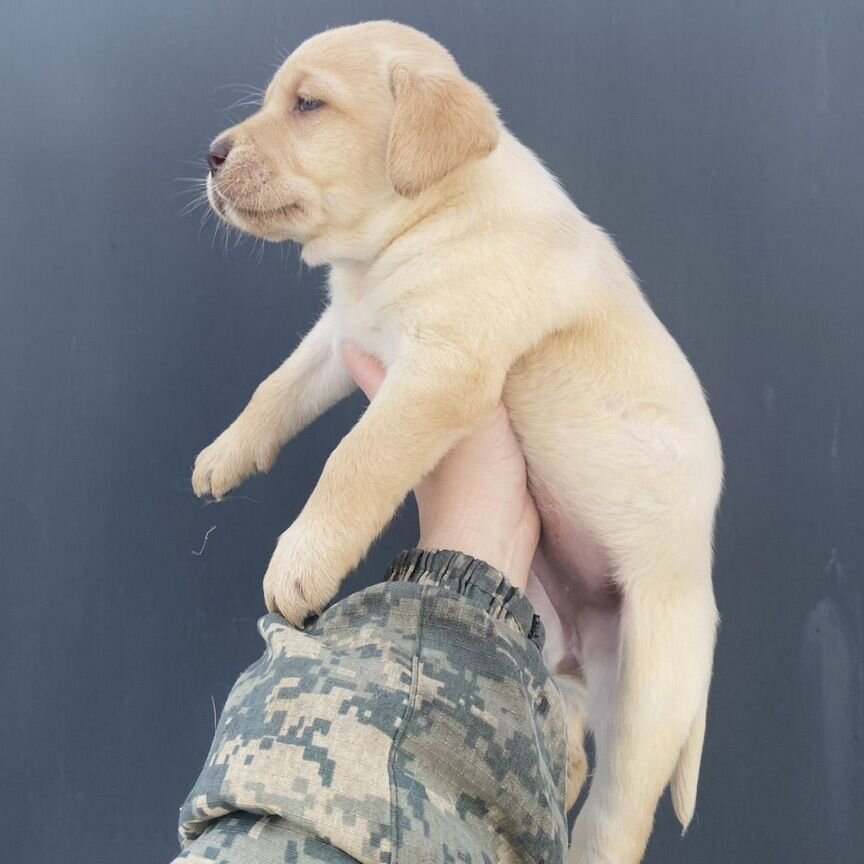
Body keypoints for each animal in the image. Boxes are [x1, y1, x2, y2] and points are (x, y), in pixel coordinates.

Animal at [194, 20, 724, 864]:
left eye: (309, 105)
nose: (210, 153)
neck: (424, 217)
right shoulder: (344, 331)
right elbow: (277, 388)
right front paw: (225, 455)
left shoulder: (442, 372)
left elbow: (354, 462)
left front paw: (302, 560)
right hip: (545, 646)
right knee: (560, 739)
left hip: (648, 701)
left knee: (614, 818)